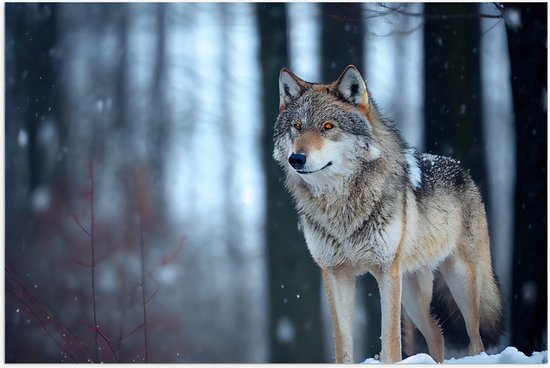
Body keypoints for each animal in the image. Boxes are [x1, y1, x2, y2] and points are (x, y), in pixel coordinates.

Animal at [274, 65, 506, 362]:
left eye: (328, 127)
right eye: (297, 126)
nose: (296, 158)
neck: (340, 206)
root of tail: (462, 169)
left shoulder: (386, 271)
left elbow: (391, 341)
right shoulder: (335, 273)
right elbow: (342, 343)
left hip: (459, 280)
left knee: (475, 338)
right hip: (412, 294)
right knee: (436, 332)